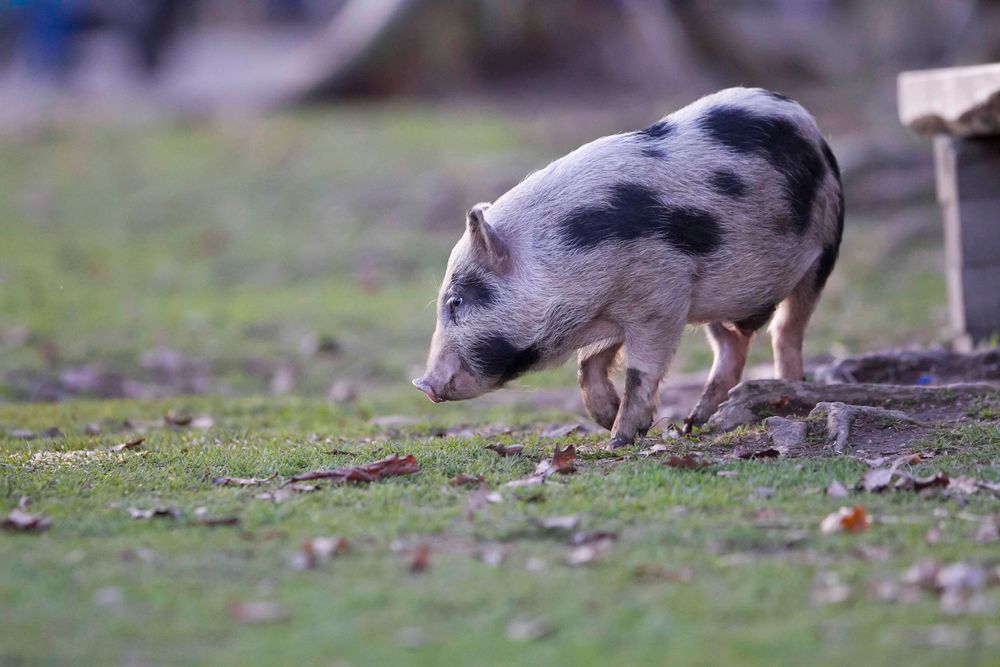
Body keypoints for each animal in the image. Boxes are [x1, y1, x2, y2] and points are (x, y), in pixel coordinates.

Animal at [414, 86, 844, 446]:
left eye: (456, 301)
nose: (423, 384)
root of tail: (803, 117)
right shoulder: (615, 311)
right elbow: (588, 364)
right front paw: (607, 420)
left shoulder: (662, 295)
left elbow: (640, 371)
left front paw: (618, 440)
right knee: (732, 346)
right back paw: (695, 422)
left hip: (825, 246)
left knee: (786, 331)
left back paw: (789, 394)